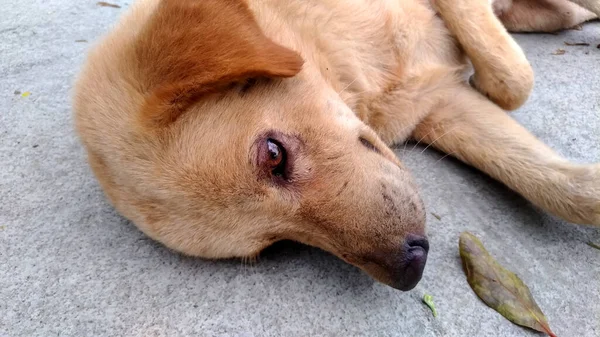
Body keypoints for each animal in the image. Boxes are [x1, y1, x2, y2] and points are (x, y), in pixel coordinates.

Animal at [72, 0, 596, 288]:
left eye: (273, 154)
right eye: (275, 246)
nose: (410, 268)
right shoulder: (436, 105)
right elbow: (561, 187)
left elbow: (511, 81)